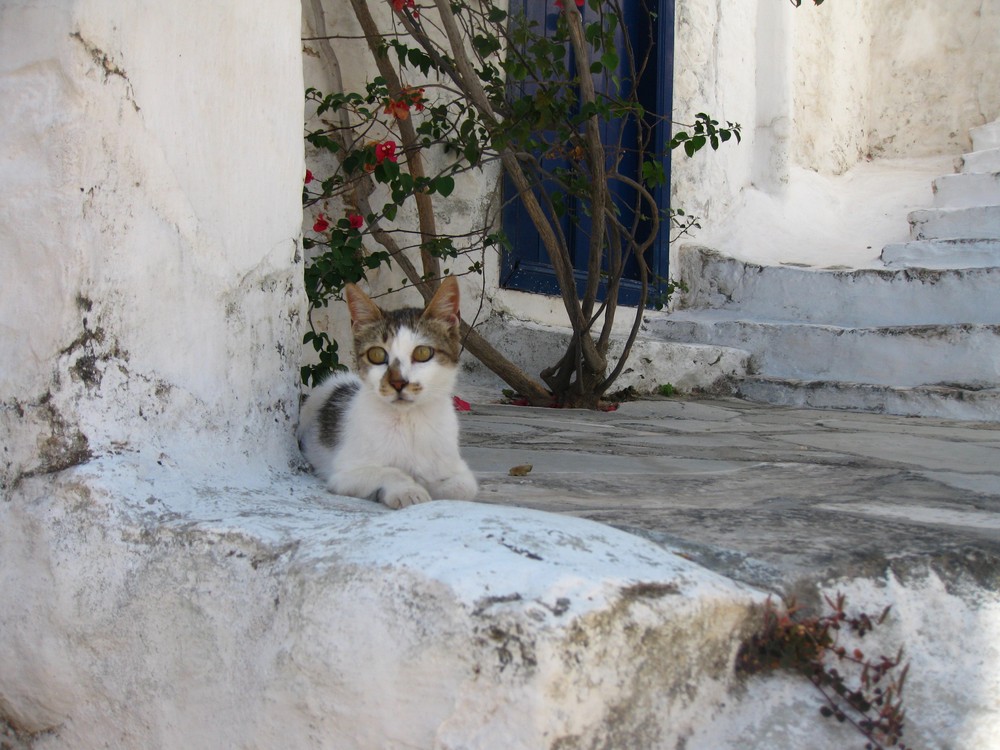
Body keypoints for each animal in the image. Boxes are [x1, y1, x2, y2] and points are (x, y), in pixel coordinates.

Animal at [298, 276, 478, 512]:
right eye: (376, 355)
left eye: (422, 353)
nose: (398, 382)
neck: (408, 421)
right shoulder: (345, 474)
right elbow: (389, 471)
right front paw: (408, 490)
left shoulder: (459, 472)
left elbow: (460, 488)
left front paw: (428, 483)